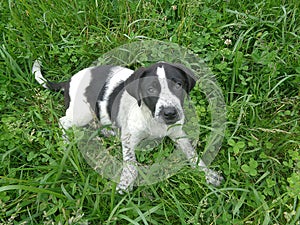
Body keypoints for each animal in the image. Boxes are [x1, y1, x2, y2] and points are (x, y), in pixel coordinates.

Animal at [32, 60, 224, 192]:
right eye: (151, 89)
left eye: (178, 85)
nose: (170, 113)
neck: (151, 118)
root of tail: (68, 82)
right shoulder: (129, 137)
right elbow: (131, 164)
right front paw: (125, 183)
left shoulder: (177, 131)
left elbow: (192, 154)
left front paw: (208, 174)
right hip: (81, 113)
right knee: (64, 121)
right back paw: (66, 143)